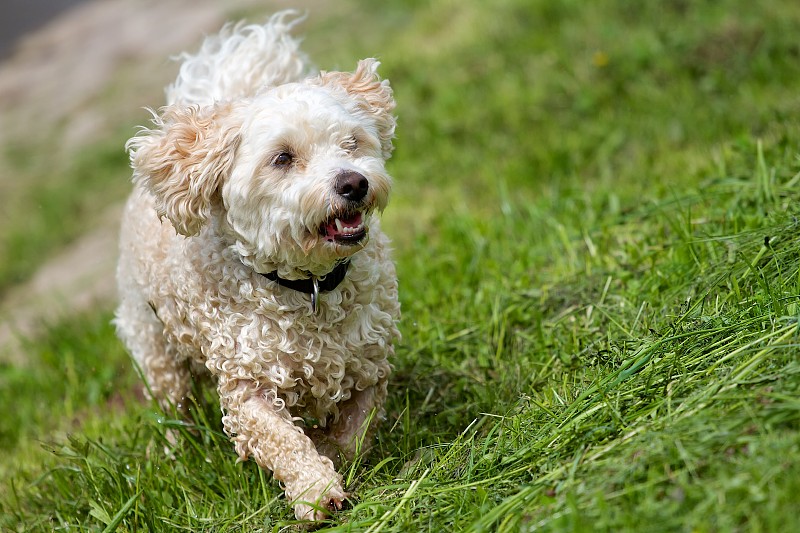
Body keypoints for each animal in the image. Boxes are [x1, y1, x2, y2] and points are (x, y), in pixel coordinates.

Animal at [114, 10, 400, 520]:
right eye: (282, 158)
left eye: (351, 142)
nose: (354, 182)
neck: (309, 286)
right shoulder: (249, 386)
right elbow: (281, 439)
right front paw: (315, 491)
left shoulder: (369, 362)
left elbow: (356, 428)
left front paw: (332, 450)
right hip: (154, 347)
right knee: (173, 407)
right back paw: (176, 452)